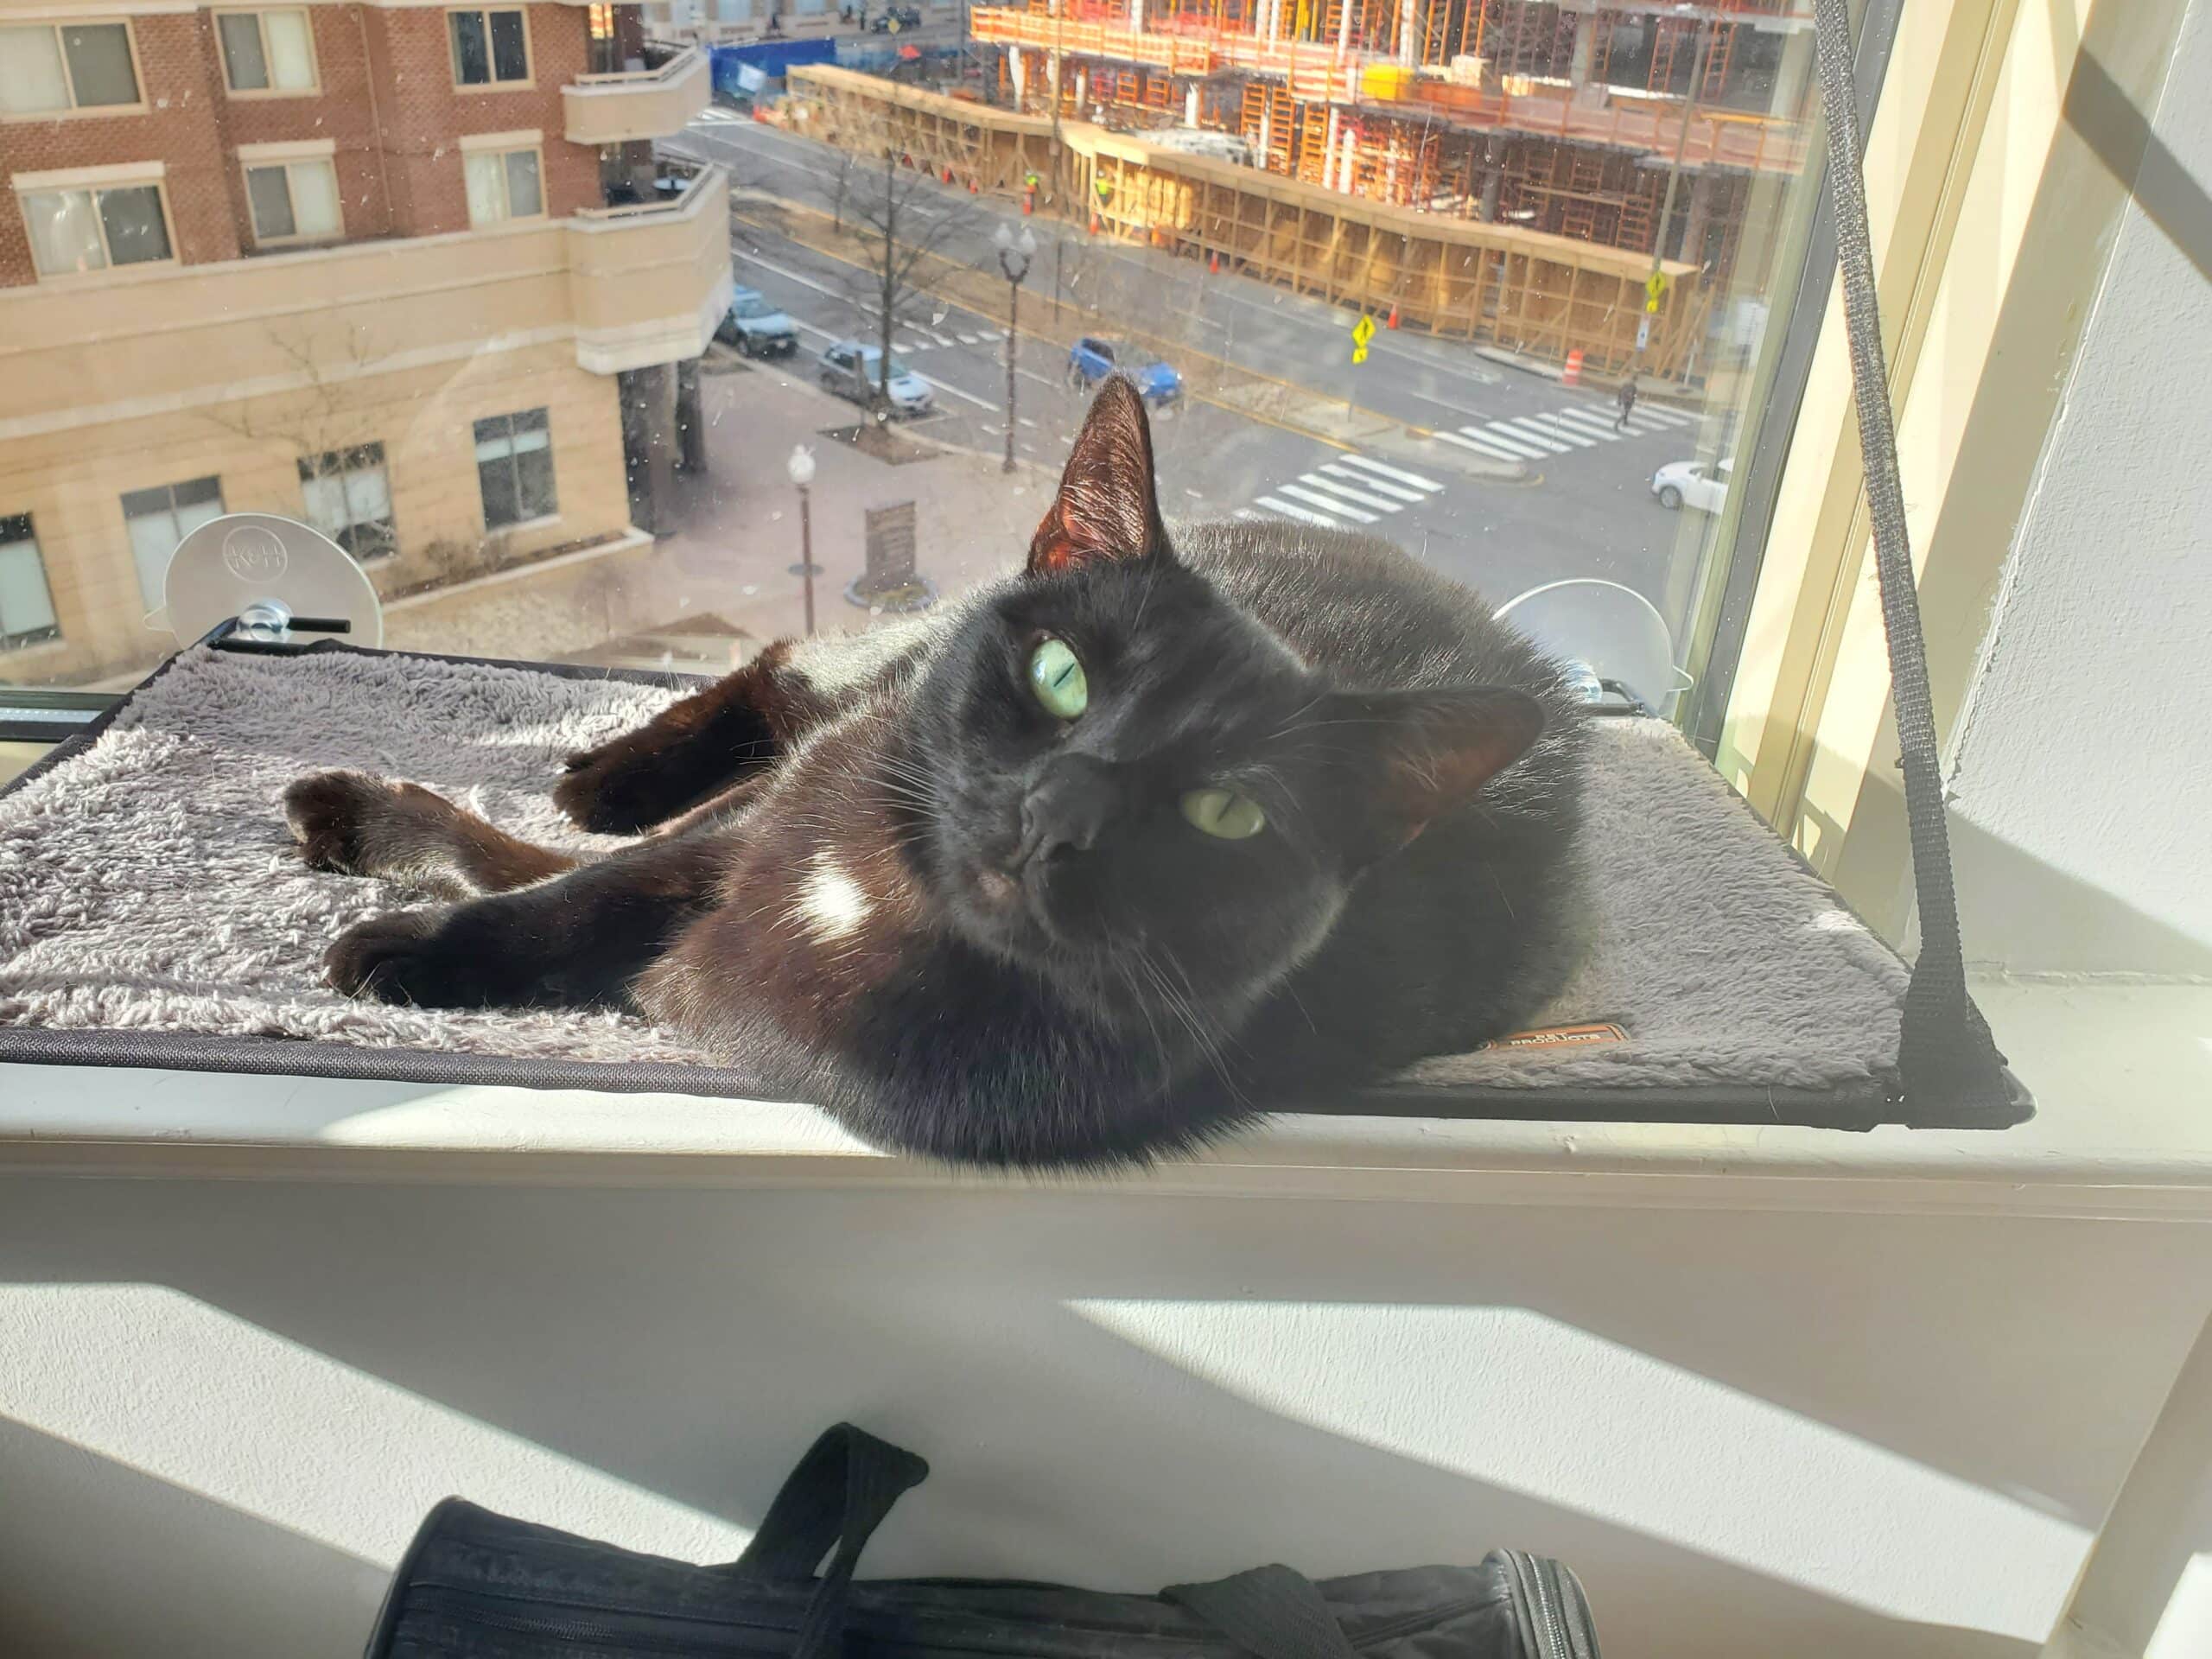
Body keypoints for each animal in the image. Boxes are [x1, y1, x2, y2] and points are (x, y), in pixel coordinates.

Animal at [283, 377, 1589, 1167]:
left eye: (1229, 814)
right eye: (1062, 675)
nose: (1057, 813)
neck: (878, 897)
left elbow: (571, 898)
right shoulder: (754, 827)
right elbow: (566, 893)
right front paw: (408, 923)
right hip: (862, 683)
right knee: (771, 677)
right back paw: (599, 778)